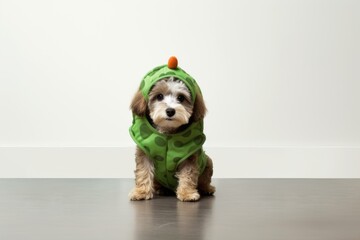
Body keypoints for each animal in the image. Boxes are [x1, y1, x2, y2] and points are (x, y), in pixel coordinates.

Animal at [129, 57, 214, 202]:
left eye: (181, 98)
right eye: (159, 96)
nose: (170, 111)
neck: (167, 134)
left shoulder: (190, 156)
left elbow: (188, 174)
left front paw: (187, 193)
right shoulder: (145, 152)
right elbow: (143, 171)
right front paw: (141, 192)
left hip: (208, 162)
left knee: (204, 180)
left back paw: (207, 189)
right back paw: (160, 189)